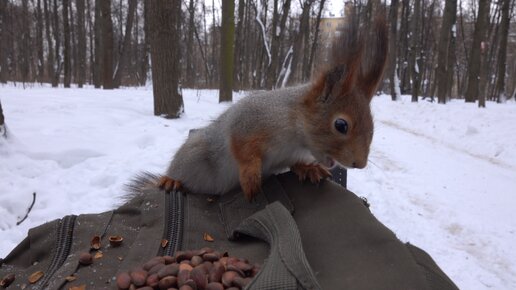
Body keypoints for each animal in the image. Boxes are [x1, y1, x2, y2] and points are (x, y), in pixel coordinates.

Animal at [158, 17, 388, 201]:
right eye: (341, 125)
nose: (360, 164)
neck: (296, 137)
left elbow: (294, 163)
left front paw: (308, 167)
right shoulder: (248, 120)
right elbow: (242, 148)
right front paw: (250, 176)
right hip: (193, 156)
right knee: (179, 171)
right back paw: (172, 181)